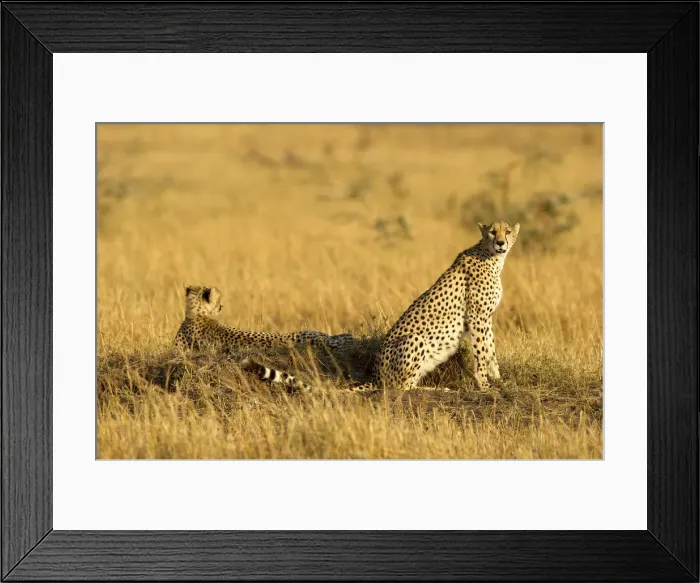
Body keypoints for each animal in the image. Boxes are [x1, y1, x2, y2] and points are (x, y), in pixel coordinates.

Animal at [241, 221, 519, 394]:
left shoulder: (486, 318)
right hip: (414, 340)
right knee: (400, 387)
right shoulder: (477, 317)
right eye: (492, 232)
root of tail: (374, 375)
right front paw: (485, 386)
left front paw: (498, 378)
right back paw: (439, 388)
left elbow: (491, 349)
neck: (492, 257)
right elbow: (482, 351)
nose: (501, 243)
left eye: (507, 231)